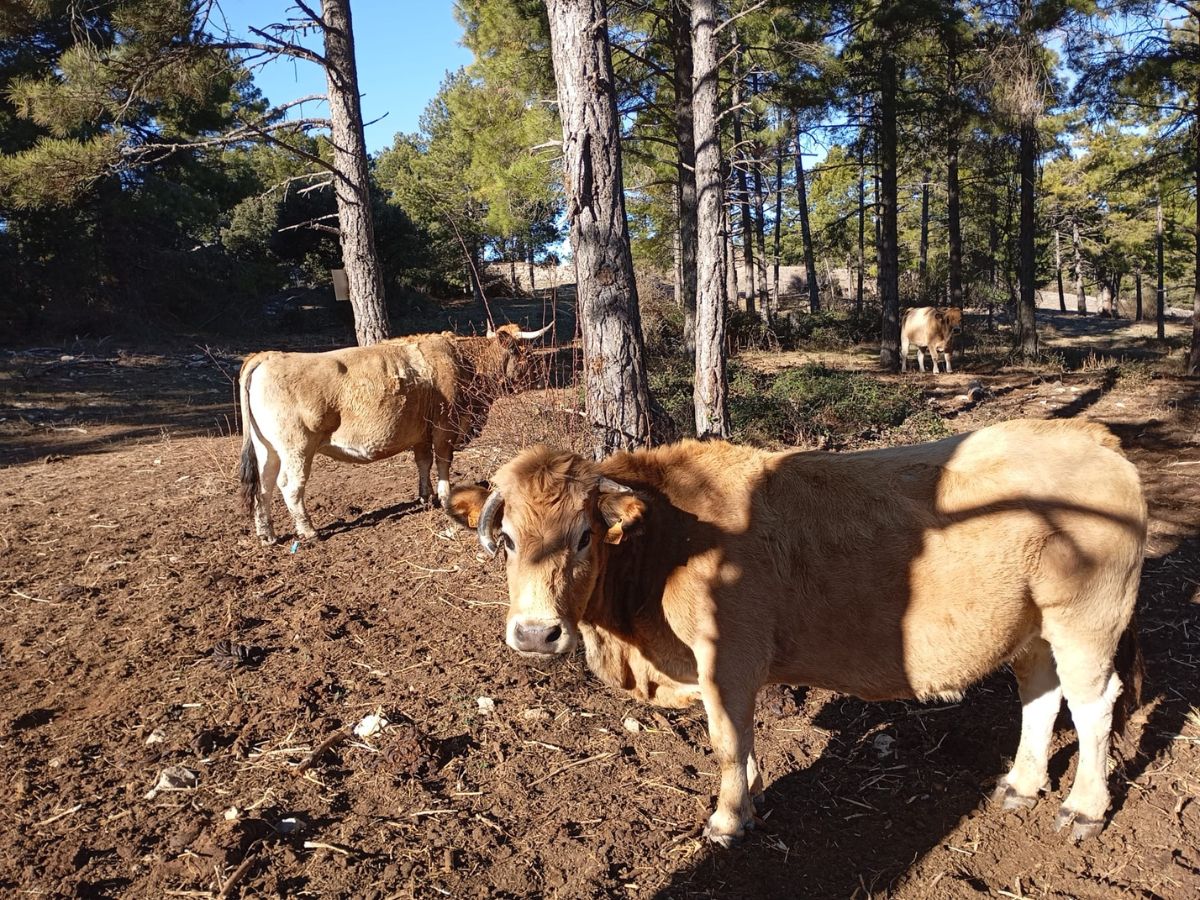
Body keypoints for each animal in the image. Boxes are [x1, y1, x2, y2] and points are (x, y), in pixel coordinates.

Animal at [448, 420, 1142, 849]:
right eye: (506, 539)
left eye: (584, 536)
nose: (535, 634)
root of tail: (1084, 432)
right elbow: (744, 740)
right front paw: (752, 793)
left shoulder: (727, 655)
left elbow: (727, 739)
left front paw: (729, 819)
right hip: (1033, 627)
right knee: (1041, 695)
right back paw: (1021, 784)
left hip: (1087, 617)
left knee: (1093, 705)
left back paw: (1083, 807)